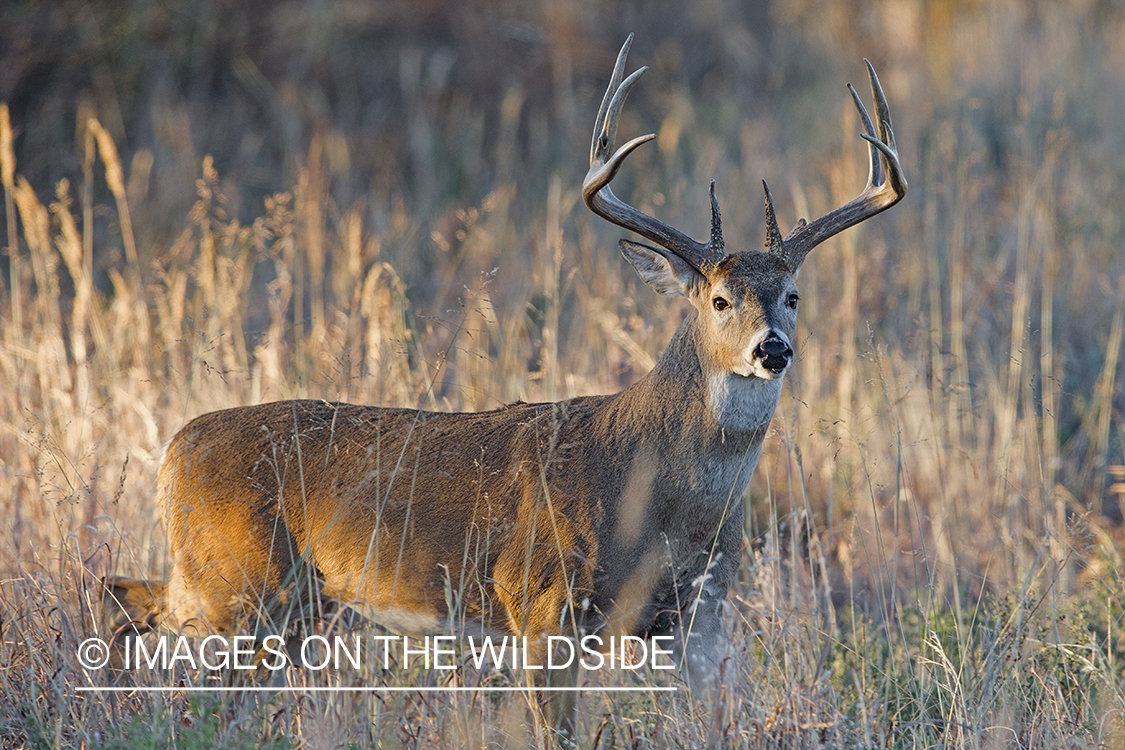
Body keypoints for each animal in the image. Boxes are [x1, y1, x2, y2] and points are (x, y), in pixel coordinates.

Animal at [103, 35, 904, 746]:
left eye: (792, 295)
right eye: (717, 299)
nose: (772, 348)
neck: (660, 494)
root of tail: (174, 447)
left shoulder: (697, 612)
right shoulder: (538, 599)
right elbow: (560, 734)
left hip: (278, 602)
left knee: (132, 602)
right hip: (234, 583)